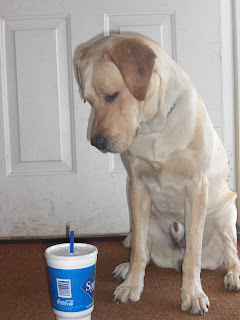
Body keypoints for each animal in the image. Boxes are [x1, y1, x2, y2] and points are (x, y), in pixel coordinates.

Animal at [77, 35, 240, 316]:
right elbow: (139, 252)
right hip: (148, 219)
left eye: (112, 96)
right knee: (143, 248)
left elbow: (193, 254)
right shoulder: (137, 185)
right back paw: (126, 269)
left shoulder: (197, 187)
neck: (155, 128)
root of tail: (175, 258)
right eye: (88, 100)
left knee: (231, 254)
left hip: (225, 215)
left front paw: (193, 294)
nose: (97, 143)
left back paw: (234, 276)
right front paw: (132, 285)